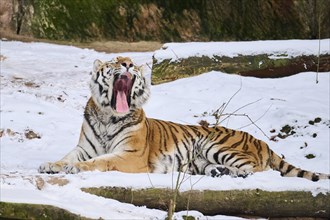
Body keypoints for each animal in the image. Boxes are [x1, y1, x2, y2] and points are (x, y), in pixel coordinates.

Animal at [39, 55, 330, 181]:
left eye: (131, 63)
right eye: (114, 61)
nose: (128, 64)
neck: (108, 116)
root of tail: (262, 142)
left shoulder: (130, 156)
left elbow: (101, 161)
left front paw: (75, 169)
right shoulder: (83, 148)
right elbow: (67, 157)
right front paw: (50, 165)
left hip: (212, 143)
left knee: (259, 168)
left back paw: (237, 173)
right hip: (200, 158)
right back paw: (221, 172)